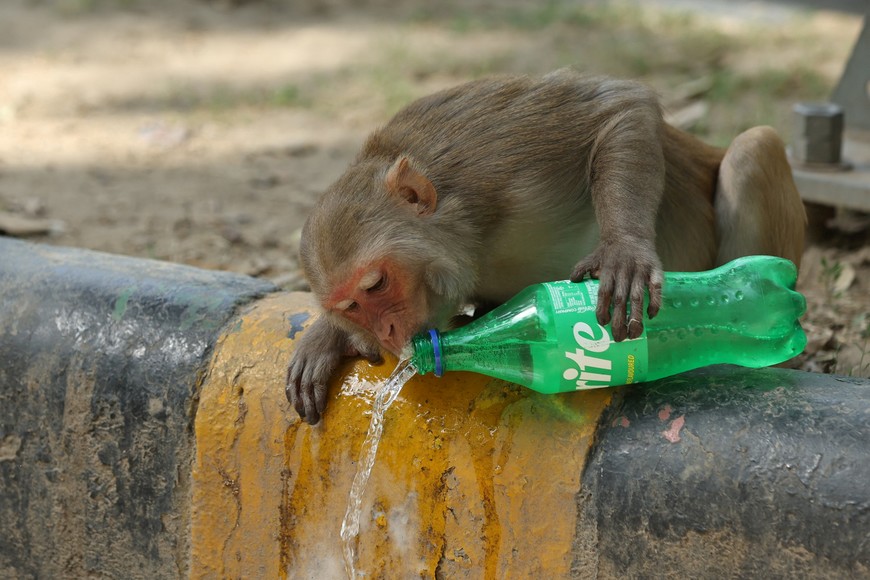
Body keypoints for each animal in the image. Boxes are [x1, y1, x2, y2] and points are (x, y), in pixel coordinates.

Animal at [285, 68, 806, 424]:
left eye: (376, 284)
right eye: (351, 306)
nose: (388, 333)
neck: (472, 237)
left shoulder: (495, 152)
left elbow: (620, 105)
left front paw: (624, 251)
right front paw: (326, 338)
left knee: (753, 148)